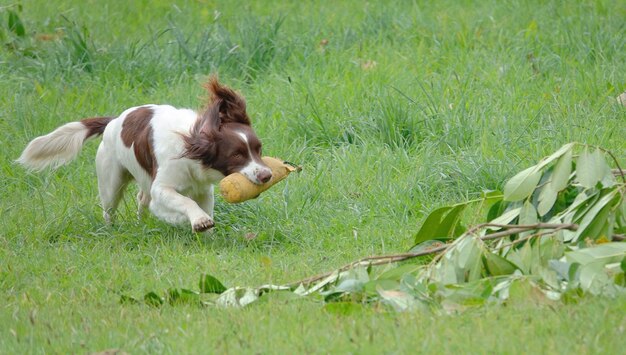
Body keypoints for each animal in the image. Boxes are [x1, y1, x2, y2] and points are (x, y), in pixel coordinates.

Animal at [18, 78, 272, 234]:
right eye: (236, 155)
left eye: (258, 149)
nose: (267, 175)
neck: (191, 144)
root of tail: (113, 121)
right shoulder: (163, 187)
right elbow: (185, 202)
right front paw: (196, 221)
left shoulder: (203, 190)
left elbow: (202, 206)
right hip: (111, 182)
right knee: (109, 209)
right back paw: (111, 230)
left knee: (141, 199)